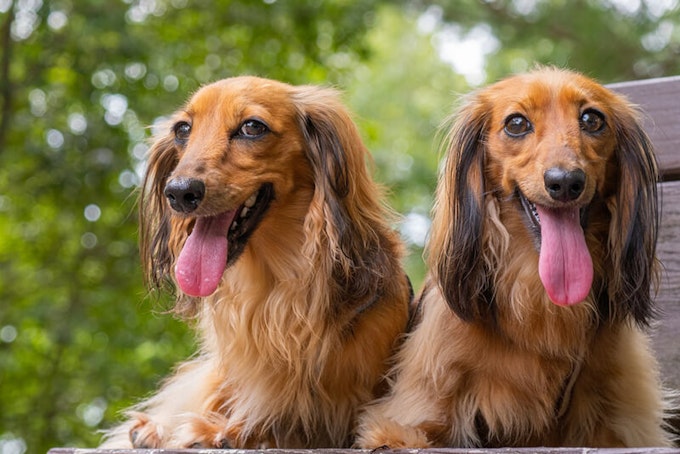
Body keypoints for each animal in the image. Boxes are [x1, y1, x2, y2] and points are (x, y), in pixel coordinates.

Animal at [356, 66, 676, 446]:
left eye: (592, 119)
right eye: (517, 123)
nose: (565, 182)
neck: (541, 300)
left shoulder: (621, 415)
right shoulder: (414, 410)